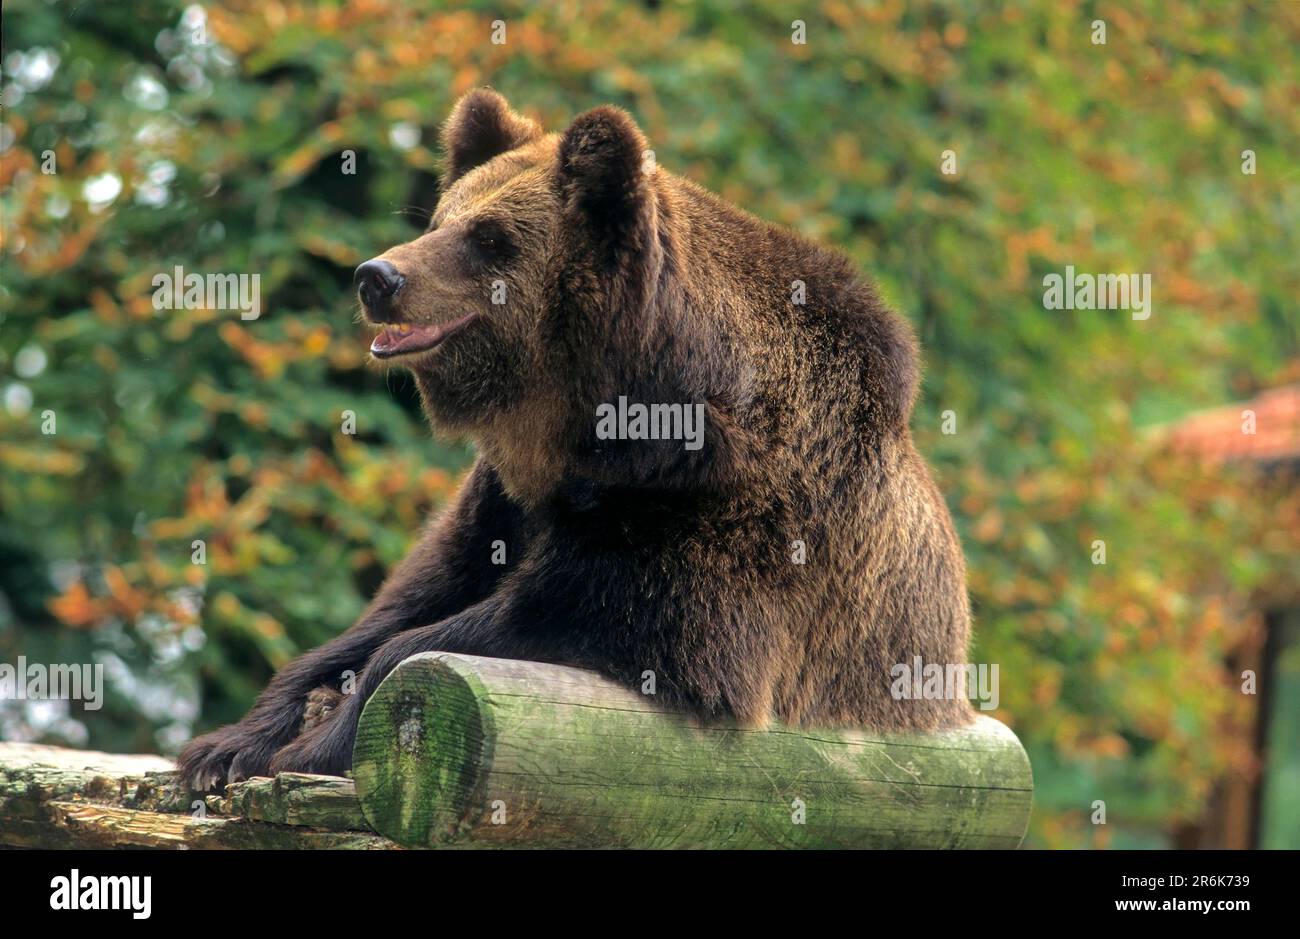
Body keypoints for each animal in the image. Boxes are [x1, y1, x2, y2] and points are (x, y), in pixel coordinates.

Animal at [172, 89, 972, 790]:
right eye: (439, 217)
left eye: (489, 237)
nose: (378, 276)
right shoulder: (500, 498)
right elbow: (403, 604)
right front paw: (230, 743)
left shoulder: (720, 515)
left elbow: (566, 614)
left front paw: (319, 737)